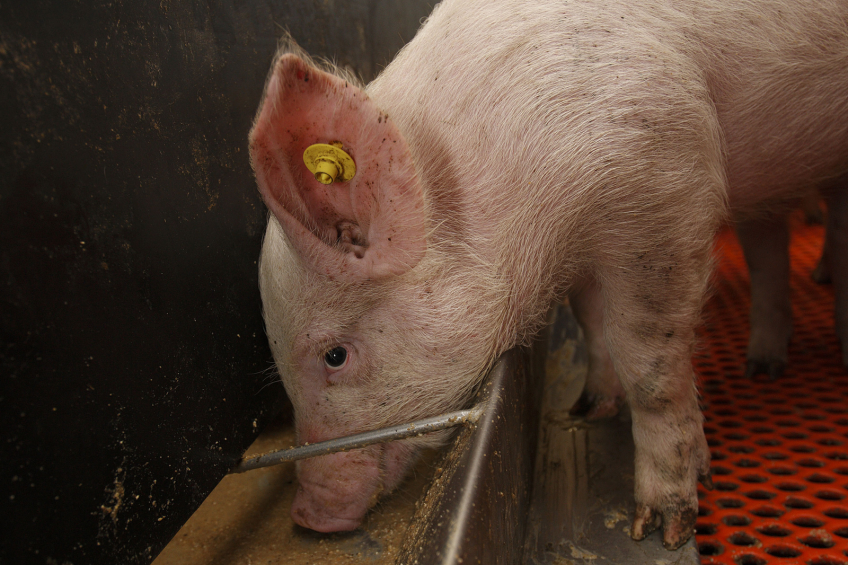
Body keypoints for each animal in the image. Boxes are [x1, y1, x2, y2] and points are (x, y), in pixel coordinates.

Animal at [250, 0, 848, 548]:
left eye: (335, 355)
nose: (308, 516)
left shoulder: (667, 188)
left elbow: (650, 367)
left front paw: (662, 529)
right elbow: (592, 322)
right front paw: (588, 408)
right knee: (768, 242)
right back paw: (766, 365)